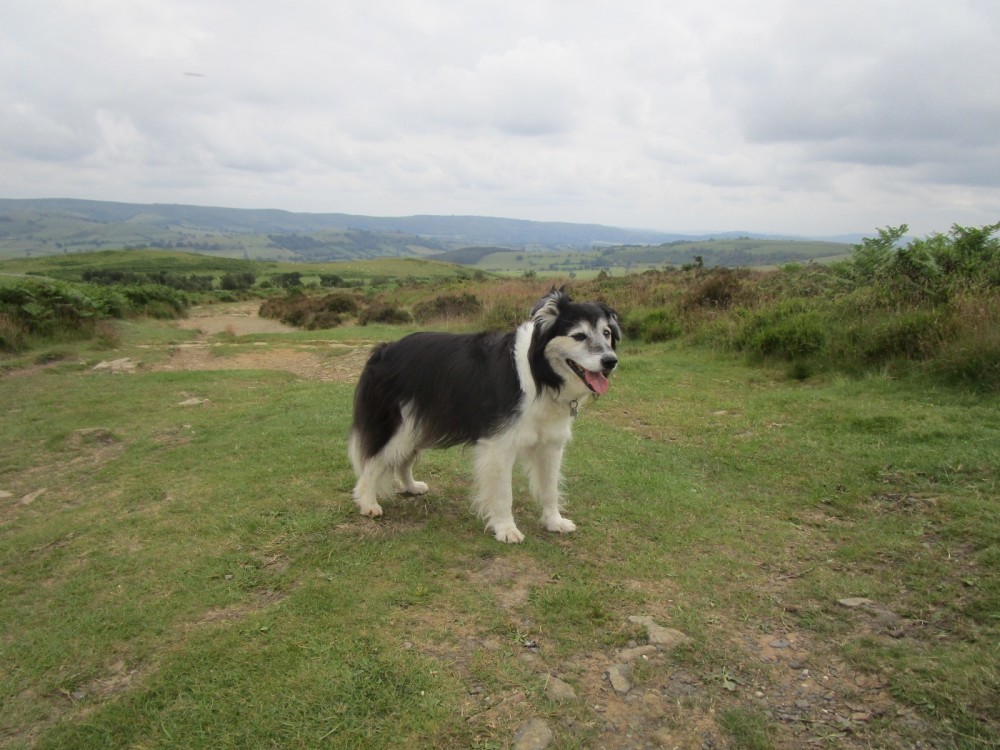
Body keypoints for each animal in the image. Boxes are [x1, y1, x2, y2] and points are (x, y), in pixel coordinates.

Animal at [348, 287, 621, 543]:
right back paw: (367, 502)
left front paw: (554, 522)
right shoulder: (499, 445)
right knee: (372, 461)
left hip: (417, 424)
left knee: (402, 459)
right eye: (578, 336)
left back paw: (411, 486)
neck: (540, 374)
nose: (611, 361)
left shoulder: (551, 444)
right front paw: (506, 529)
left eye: (607, 333)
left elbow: (550, 488)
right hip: (398, 425)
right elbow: (503, 494)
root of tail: (383, 350)